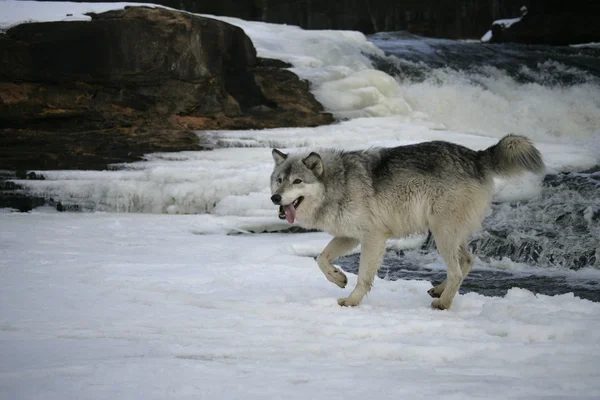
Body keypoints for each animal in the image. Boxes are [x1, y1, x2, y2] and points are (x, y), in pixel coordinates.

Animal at [270, 136, 544, 310]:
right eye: (280, 180)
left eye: (297, 181)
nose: (275, 198)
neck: (339, 183)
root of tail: (477, 156)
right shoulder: (349, 236)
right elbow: (321, 259)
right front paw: (338, 278)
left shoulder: (373, 236)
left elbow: (364, 277)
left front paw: (351, 301)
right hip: (445, 233)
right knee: (467, 260)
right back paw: (438, 291)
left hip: (442, 233)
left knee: (456, 270)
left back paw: (442, 303)